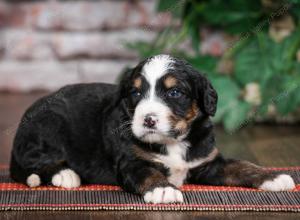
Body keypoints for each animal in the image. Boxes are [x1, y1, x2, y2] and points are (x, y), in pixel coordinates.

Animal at [9, 54, 296, 203]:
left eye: (175, 93)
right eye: (135, 93)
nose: (148, 119)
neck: (173, 142)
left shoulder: (208, 162)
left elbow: (241, 165)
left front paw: (272, 177)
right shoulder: (131, 162)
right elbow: (148, 173)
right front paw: (163, 189)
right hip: (47, 126)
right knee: (34, 162)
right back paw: (66, 175)